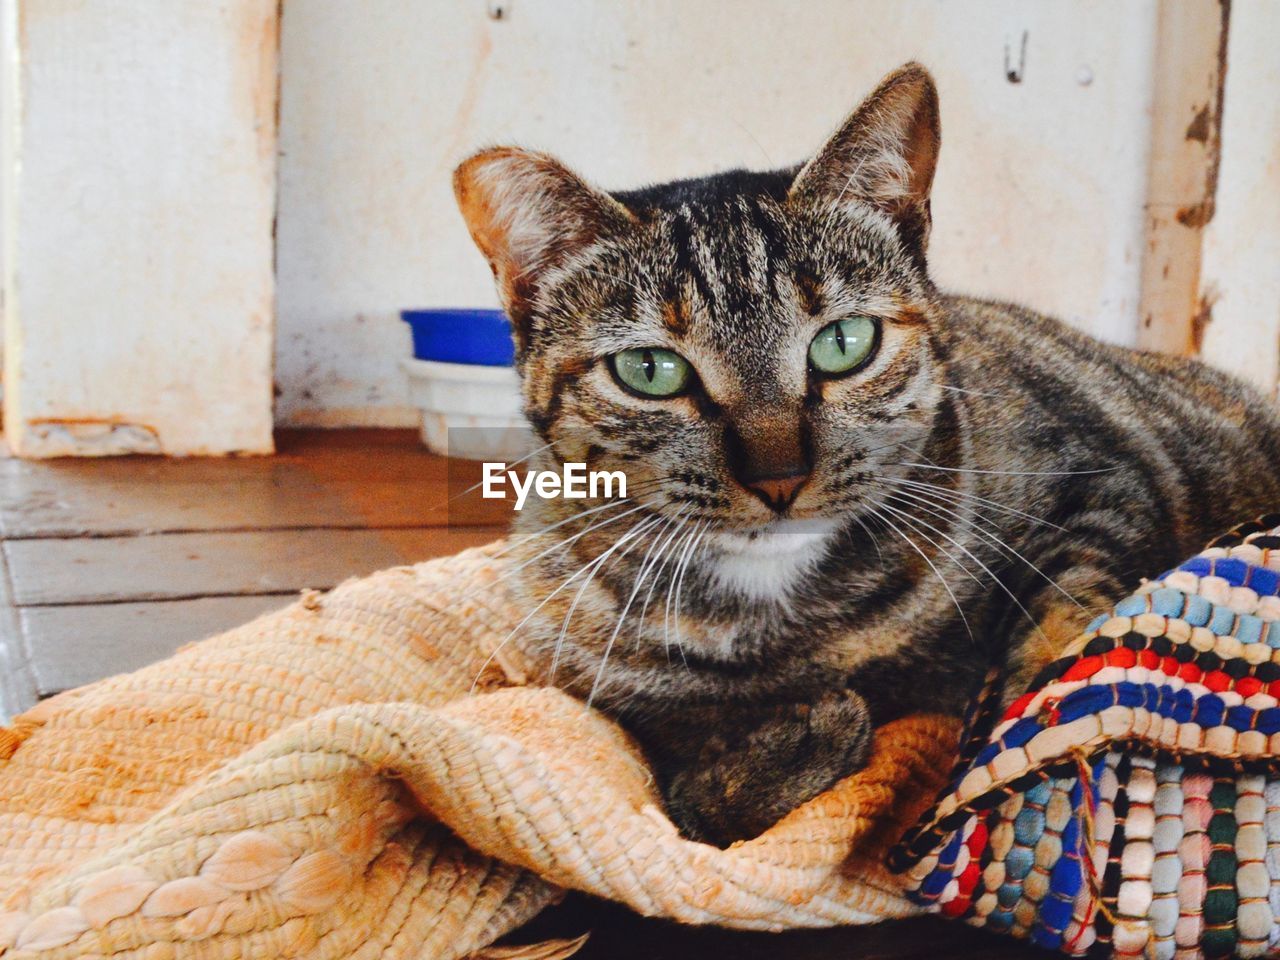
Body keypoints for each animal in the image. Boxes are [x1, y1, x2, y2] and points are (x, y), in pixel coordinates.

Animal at [450, 64, 1280, 844]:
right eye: (649, 370)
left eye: (844, 343)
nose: (778, 476)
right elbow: (683, 792)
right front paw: (787, 744)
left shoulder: (1103, 480)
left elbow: (1053, 642)